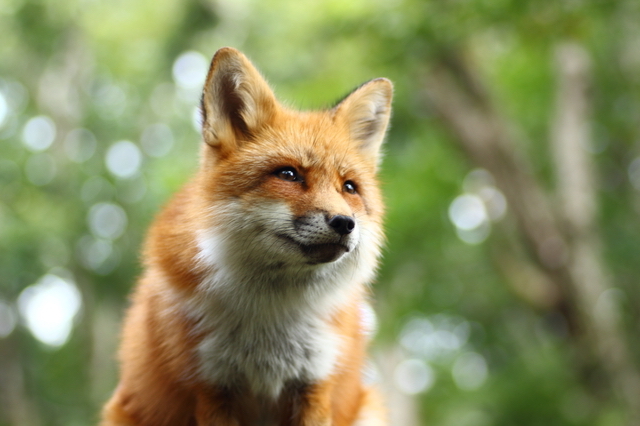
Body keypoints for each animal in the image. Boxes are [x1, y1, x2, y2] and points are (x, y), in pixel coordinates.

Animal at [100, 47, 392, 426]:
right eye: (288, 174)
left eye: (350, 188)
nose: (345, 223)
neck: (272, 316)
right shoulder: (211, 387)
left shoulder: (315, 384)